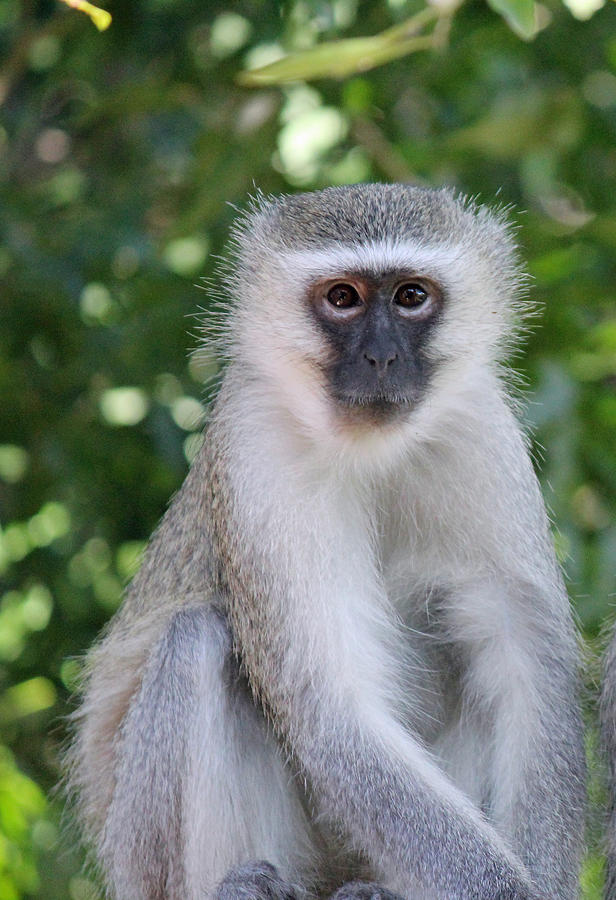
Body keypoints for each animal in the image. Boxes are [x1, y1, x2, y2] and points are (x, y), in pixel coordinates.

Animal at [70, 185, 584, 900]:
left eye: (411, 296)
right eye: (343, 298)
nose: (381, 358)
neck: (372, 451)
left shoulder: (482, 430)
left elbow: (523, 654)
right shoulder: (257, 449)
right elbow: (332, 709)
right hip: (143, 858)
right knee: (195, 639)